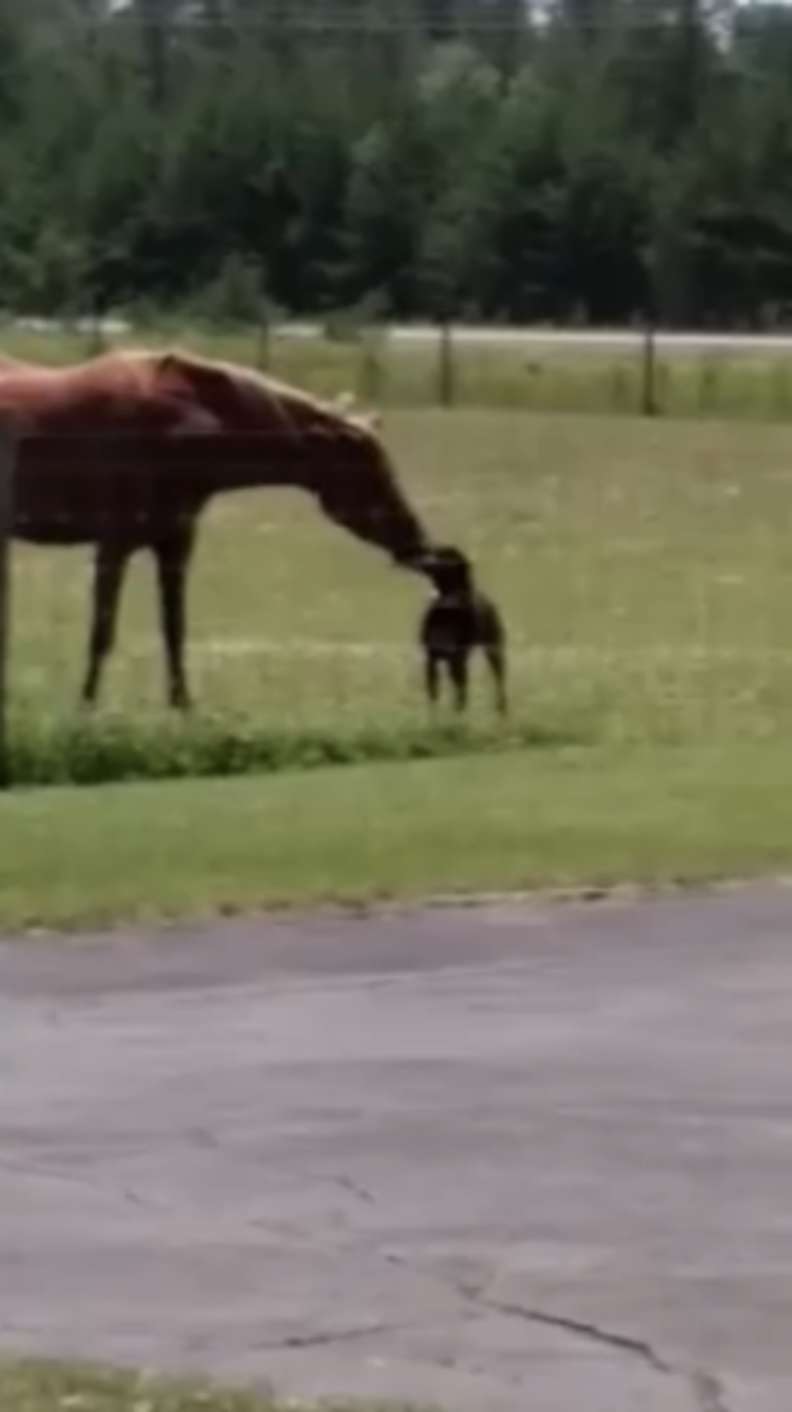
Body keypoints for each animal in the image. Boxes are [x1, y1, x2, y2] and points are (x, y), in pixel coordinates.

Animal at [0, 348, 429, 711]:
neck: (174, 425)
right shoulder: (113, 547)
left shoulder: (175, 544)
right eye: (369, 473)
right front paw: (86, 708)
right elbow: (102, 634)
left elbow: (174, 629)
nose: (416, 540)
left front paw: (183, 708)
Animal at [415, 542, 505, 717]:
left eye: (444, 558)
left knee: (498, 683)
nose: (422, 561)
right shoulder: (432, 658)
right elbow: (434, 695)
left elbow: (460, 693)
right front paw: (434, 717)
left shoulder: (458, 659)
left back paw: (501, 709)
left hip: (493, 652)